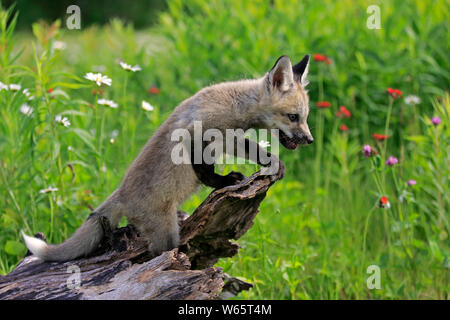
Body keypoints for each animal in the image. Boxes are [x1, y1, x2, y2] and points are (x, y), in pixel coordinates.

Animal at [22, 55, 314, 260]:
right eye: (293, 117)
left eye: (305, 117)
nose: (310, 140)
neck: (235, 104)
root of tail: (121, 193)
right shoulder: (198, 134)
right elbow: (207, 171)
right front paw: (226, 180)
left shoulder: (226, 138)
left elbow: (250, 149)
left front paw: (269, 164)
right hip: (166, 234)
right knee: (157, 255)